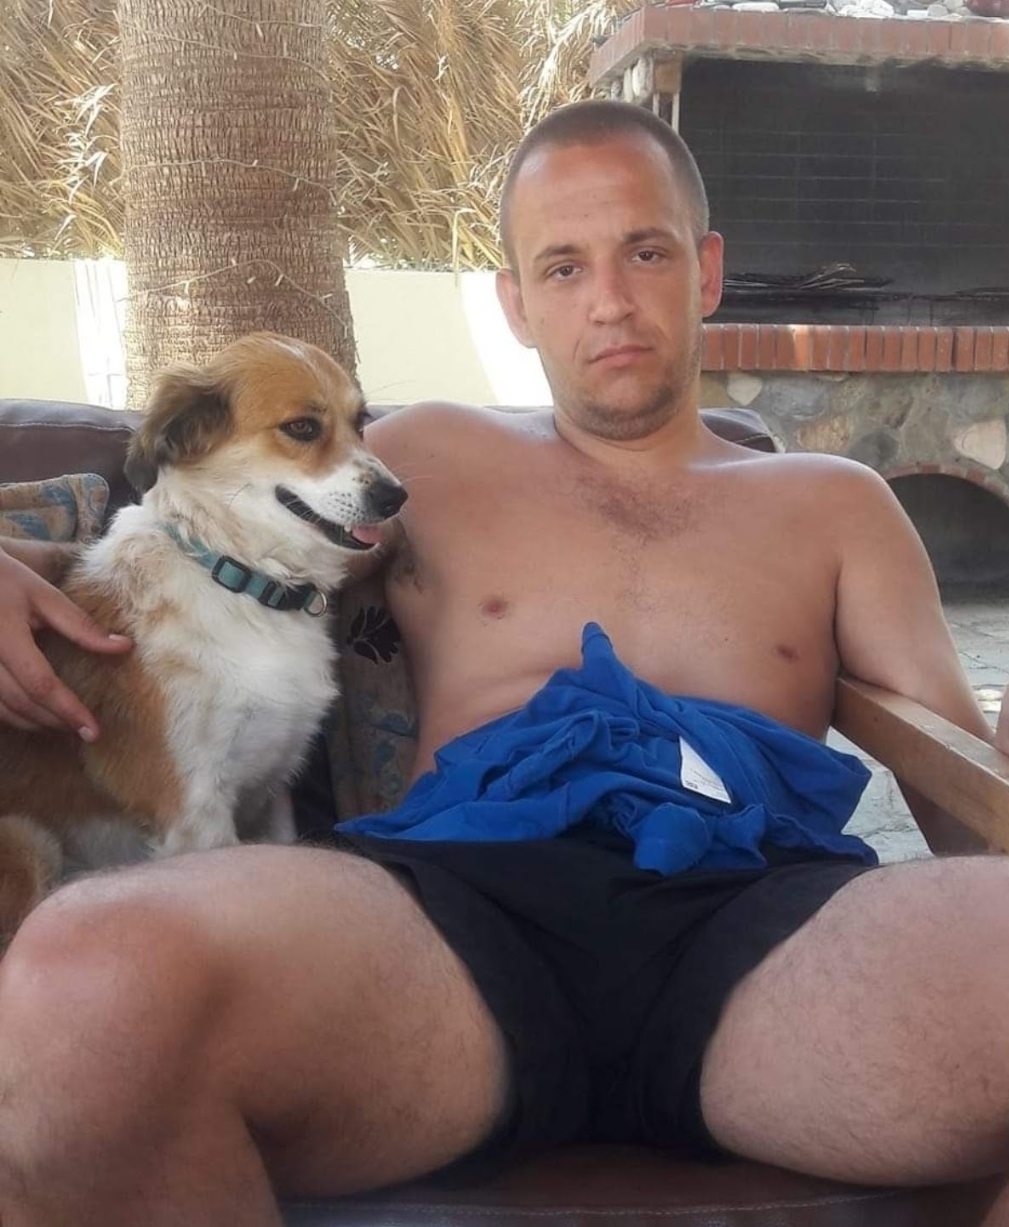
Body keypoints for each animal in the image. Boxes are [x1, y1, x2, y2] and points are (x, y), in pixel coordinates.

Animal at [0, 332, 406, 942]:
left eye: (360, 422)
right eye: (302, 428)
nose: (396, 497)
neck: (240, 579)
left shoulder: (273, 790)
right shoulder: (194, 811)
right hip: (28, 845)